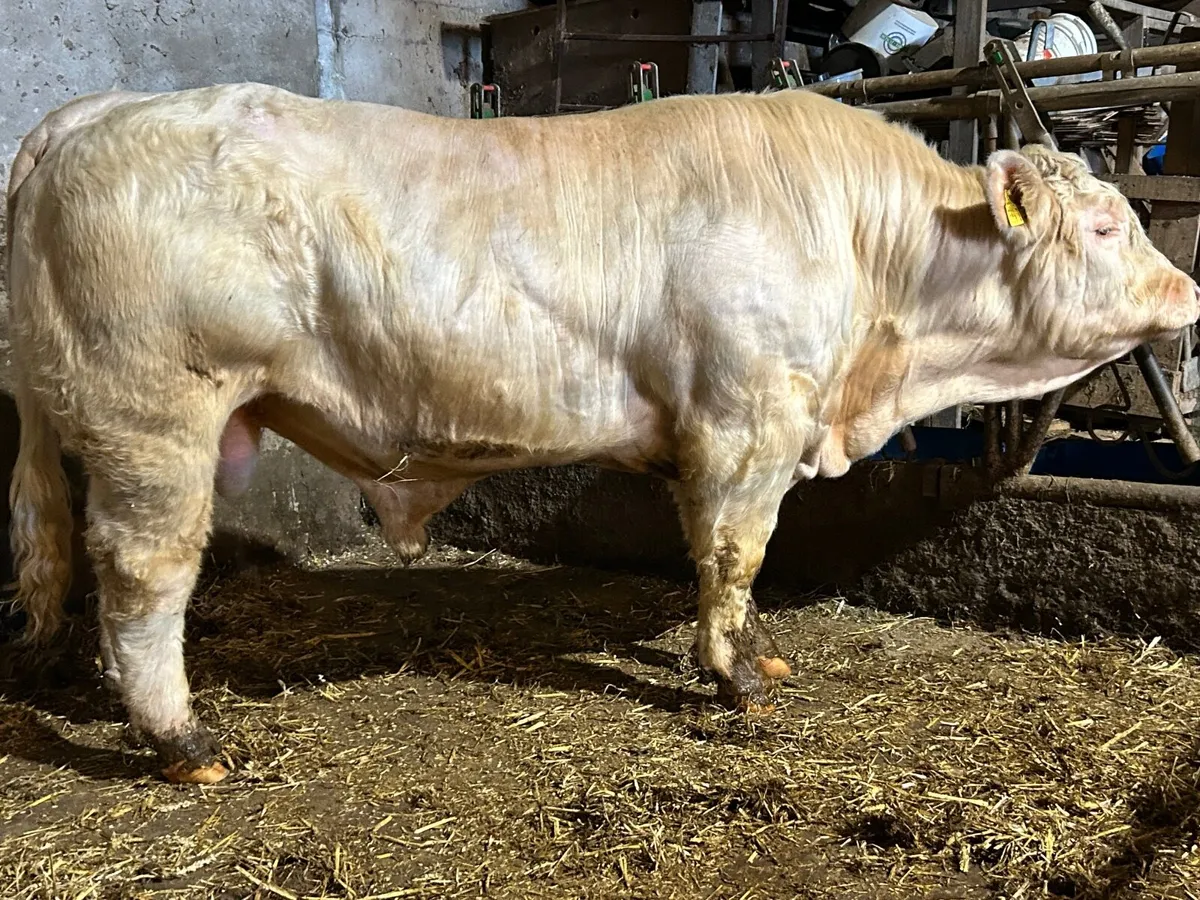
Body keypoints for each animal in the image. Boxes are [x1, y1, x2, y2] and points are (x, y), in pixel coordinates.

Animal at [7, 82, 1197, 784]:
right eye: (1106, 226)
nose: (1188, 288)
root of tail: (89, 114)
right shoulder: (748, 419)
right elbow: (735, 554)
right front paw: (736, 678)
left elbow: (706, 552)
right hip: (155, 418)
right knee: (144, 576)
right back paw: (182, 741)